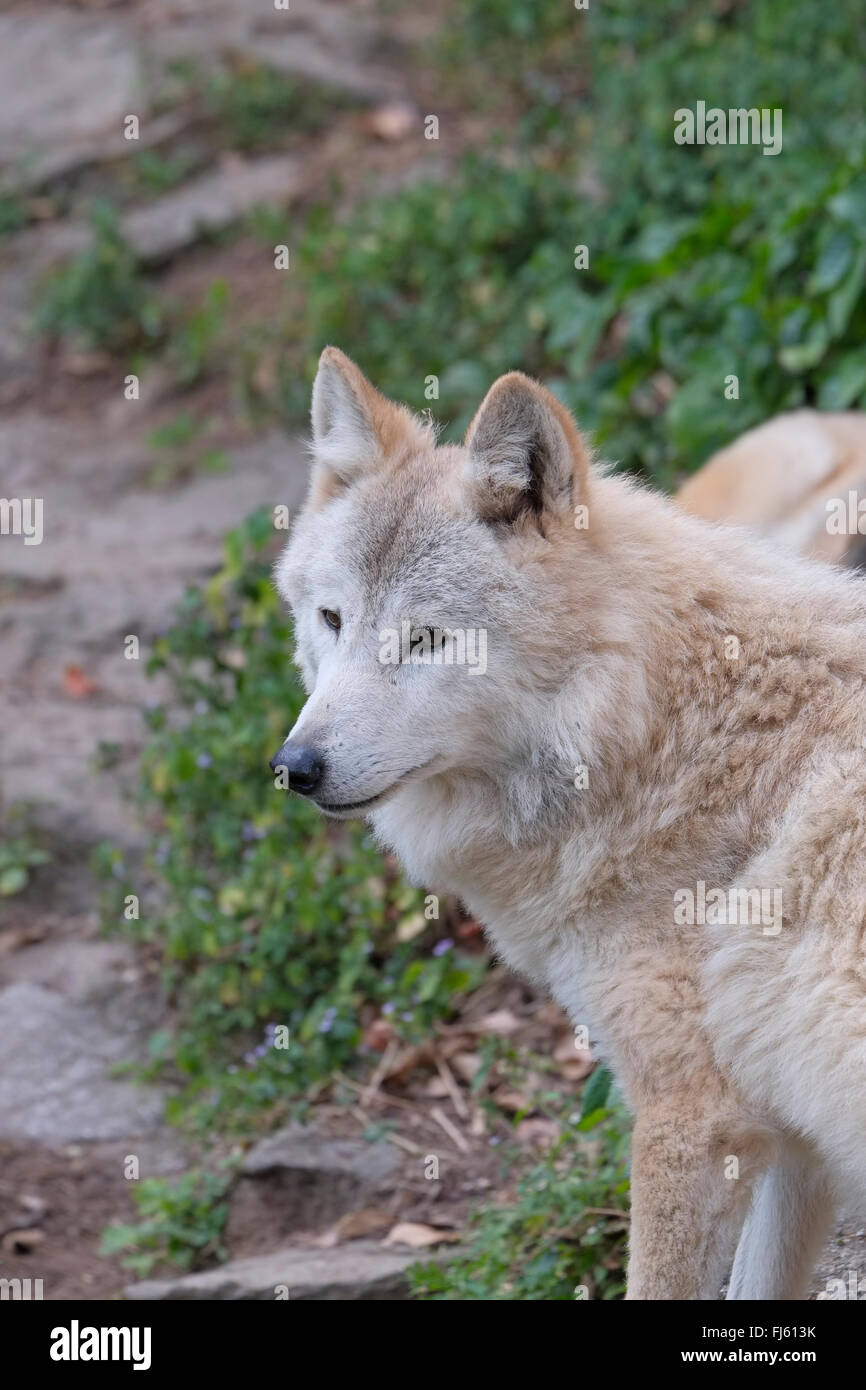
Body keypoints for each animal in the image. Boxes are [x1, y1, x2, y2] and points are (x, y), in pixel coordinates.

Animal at [273, 347, 866, 1301]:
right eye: (331, 619)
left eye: (427, 640)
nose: (296, 767)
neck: (657, 733)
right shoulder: (792, 1138)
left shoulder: (693, 1122)